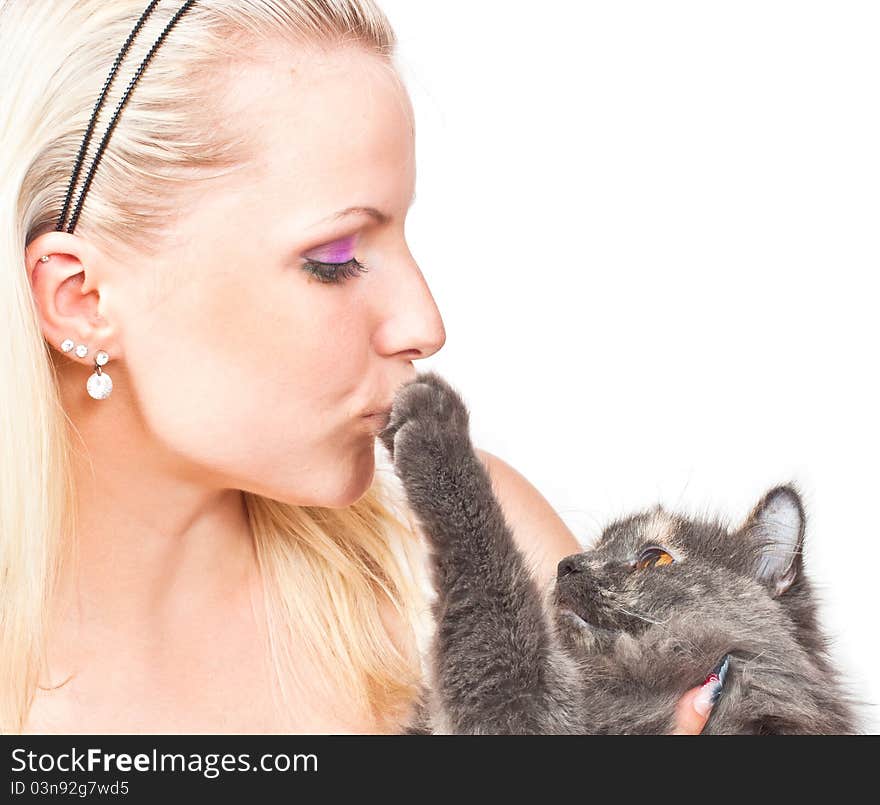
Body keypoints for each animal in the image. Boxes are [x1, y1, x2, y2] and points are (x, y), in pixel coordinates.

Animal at [378, 370, 860, 736]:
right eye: (594, 547)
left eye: (654, 559)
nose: (567, 566)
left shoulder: (527, 710)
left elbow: (491, 577)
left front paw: (431, 418)